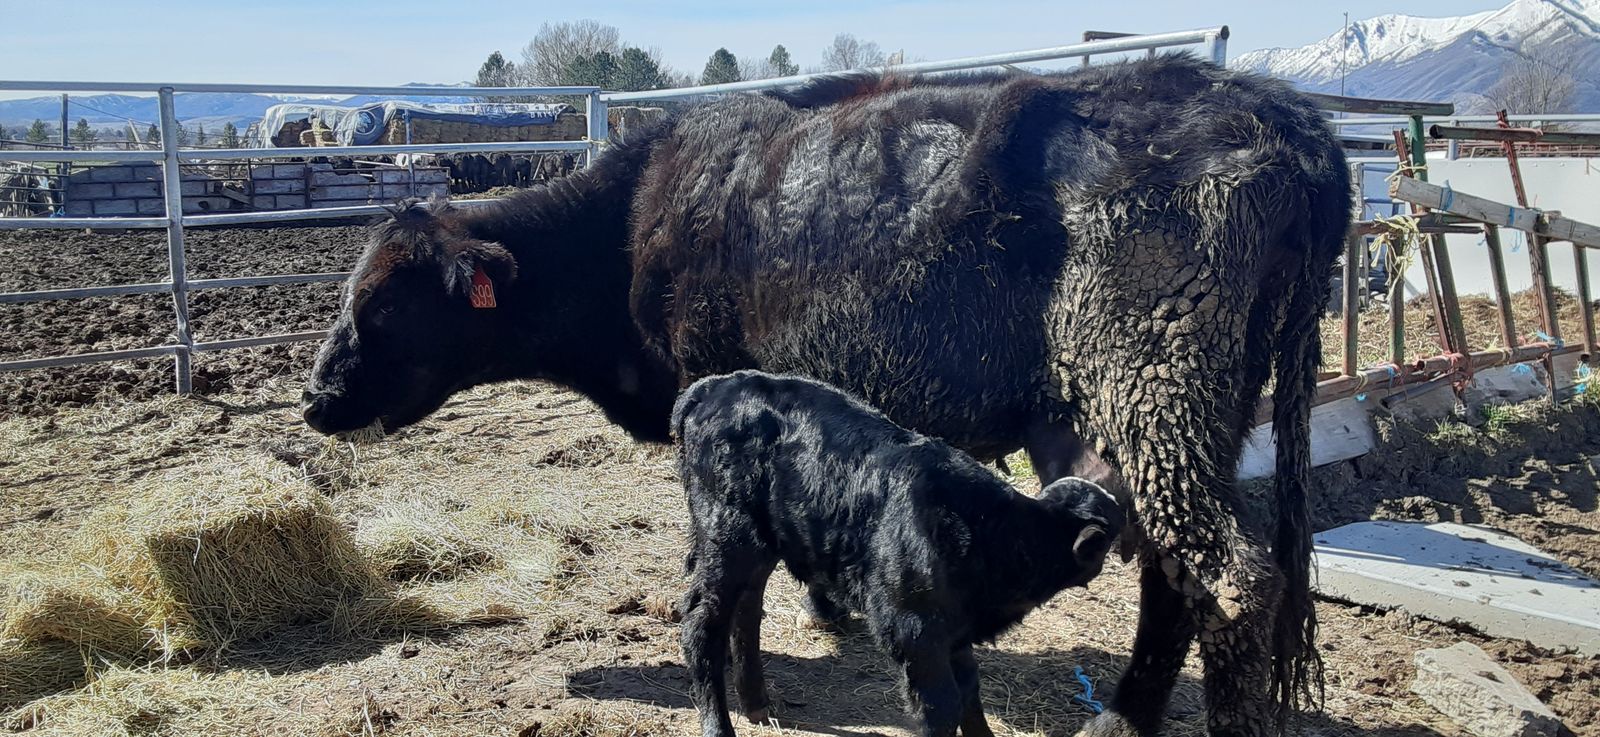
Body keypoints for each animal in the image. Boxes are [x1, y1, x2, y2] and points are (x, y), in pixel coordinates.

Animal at [672, 370, 1123, 737]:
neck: (991, 531)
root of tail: (715, 386)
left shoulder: (955, 633)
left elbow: (970, 694)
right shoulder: (914, 629)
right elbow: (942, 707)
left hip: (759, 545)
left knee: (746, 610)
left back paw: (757, 704)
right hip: (726, 537)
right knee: (703, 625)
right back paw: (719, 725)